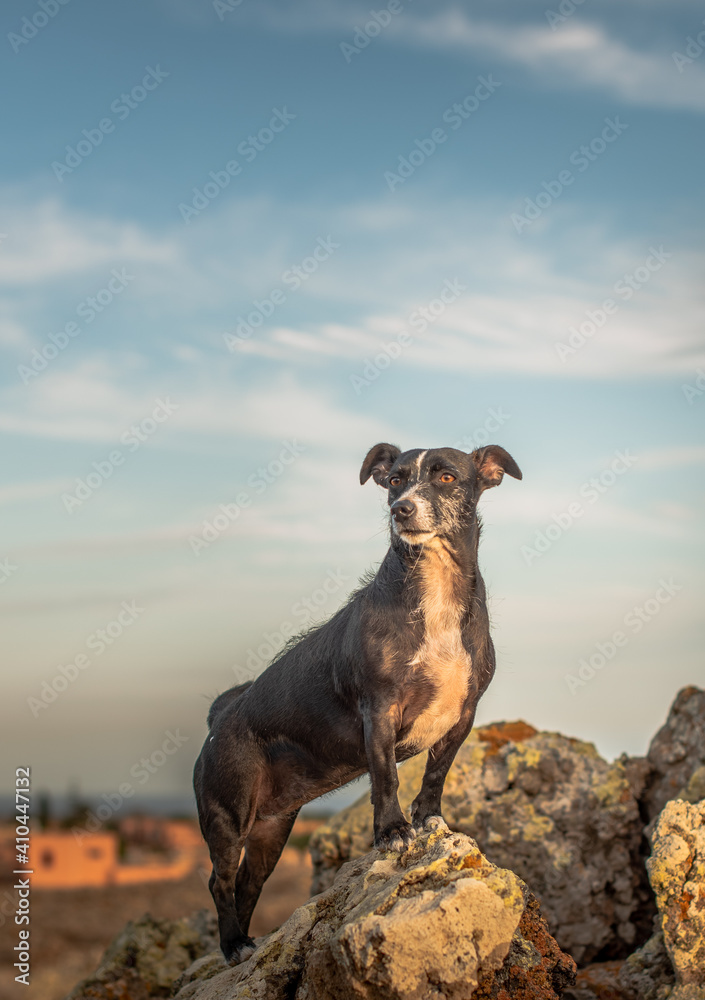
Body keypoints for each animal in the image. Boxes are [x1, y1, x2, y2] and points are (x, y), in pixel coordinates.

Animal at [195, 444, 520, 960]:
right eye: (394, 479)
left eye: (446, 476)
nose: (401, 509)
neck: (436, 586)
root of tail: (220, 717)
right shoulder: (380, 708)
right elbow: (385, 776)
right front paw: (392, 832)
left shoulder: (462, 715)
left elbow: (436, 772)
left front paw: (428, 819)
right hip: (228, 816)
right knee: (219, 882)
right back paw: (232, 946)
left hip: (272, 830)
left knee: (248, 884)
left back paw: (247, 942)